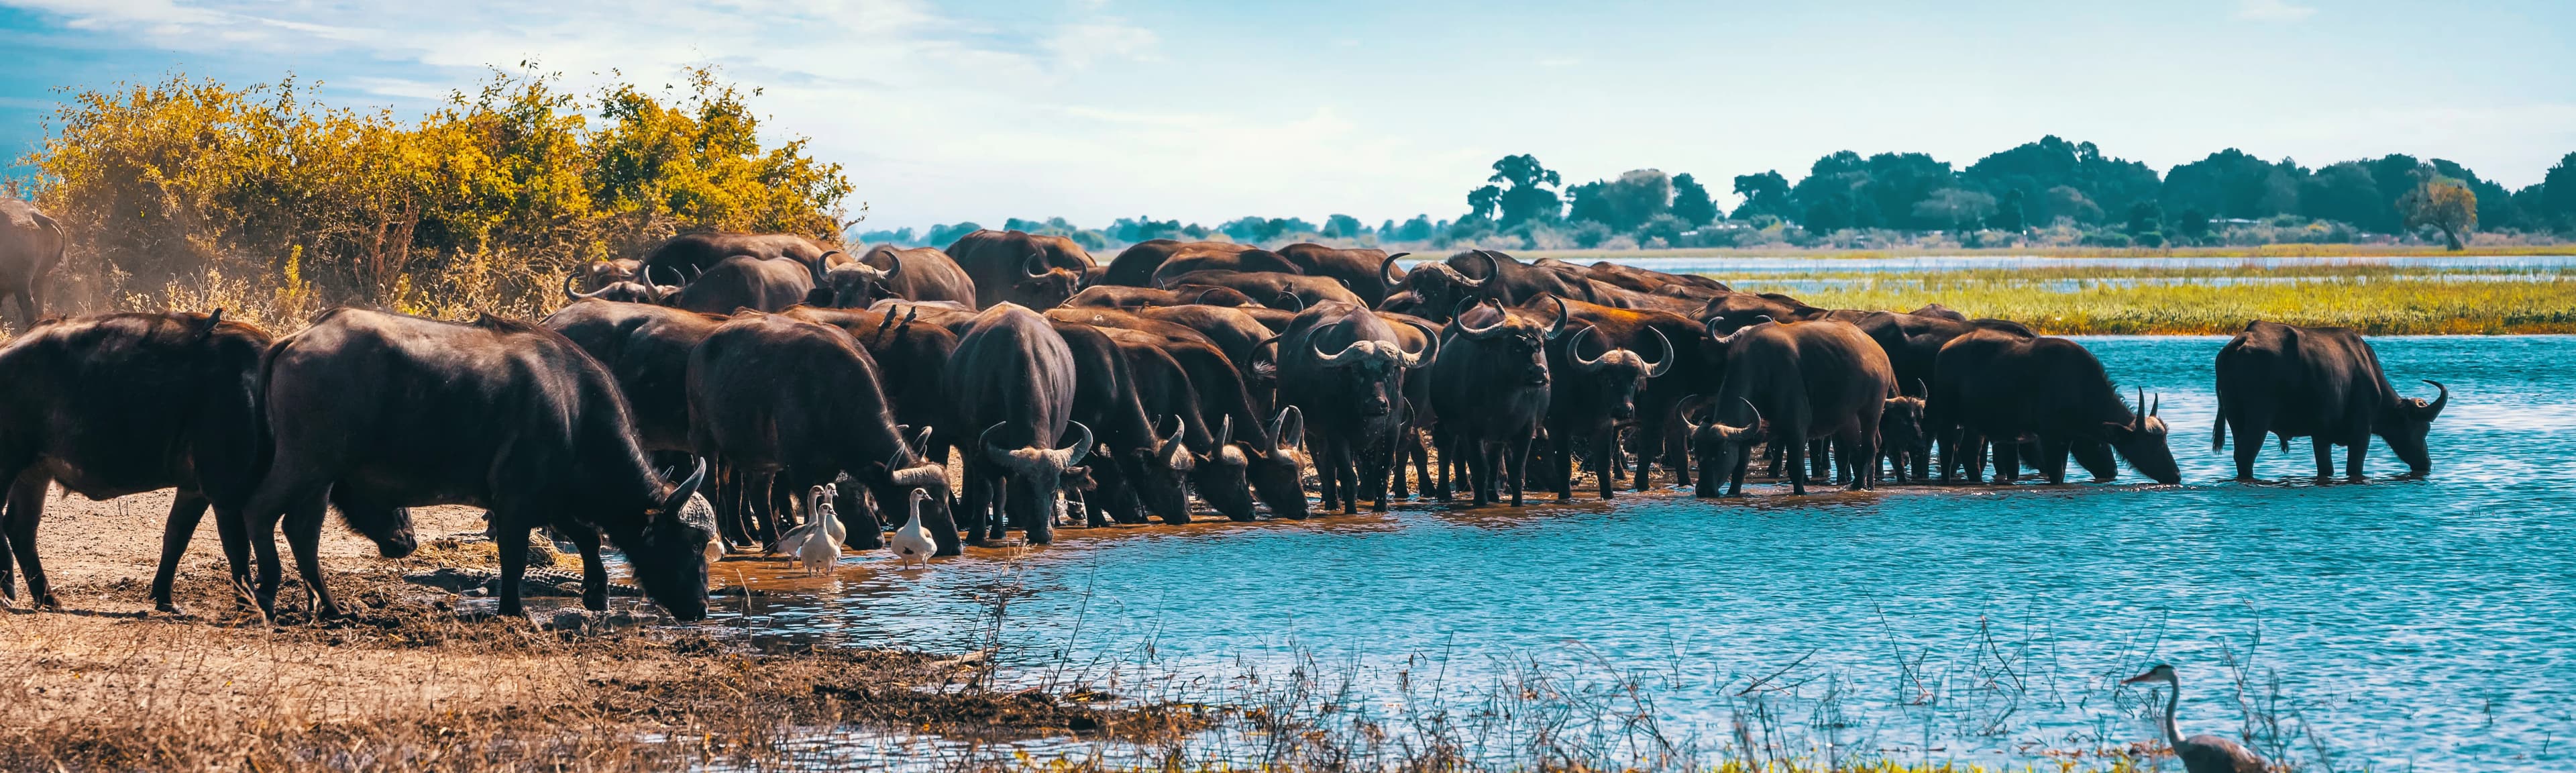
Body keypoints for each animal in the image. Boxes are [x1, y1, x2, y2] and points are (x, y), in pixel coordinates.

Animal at [241, 310, 706, 618]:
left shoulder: (551, 498)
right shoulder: (516, 501)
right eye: (691, 543)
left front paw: (597, 594)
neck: (574, 409)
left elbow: (588, 536)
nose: (701, 607)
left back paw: (330, 608)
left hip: (320, 479)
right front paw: (514, 612)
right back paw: (266, 594)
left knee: (301, 531)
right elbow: (514, 558)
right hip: (305, 465)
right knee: (261, 512)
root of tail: (295, 340)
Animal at [2215, 318, 2452, 476]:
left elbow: (2326, 468)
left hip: (2235, 417)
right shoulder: (2361, 432)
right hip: (2259, 418)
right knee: (2247, 454)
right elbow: (2354, 467)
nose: (2427, 463)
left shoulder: (2321, 435)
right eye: (2423, 429)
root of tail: (2241, 342)